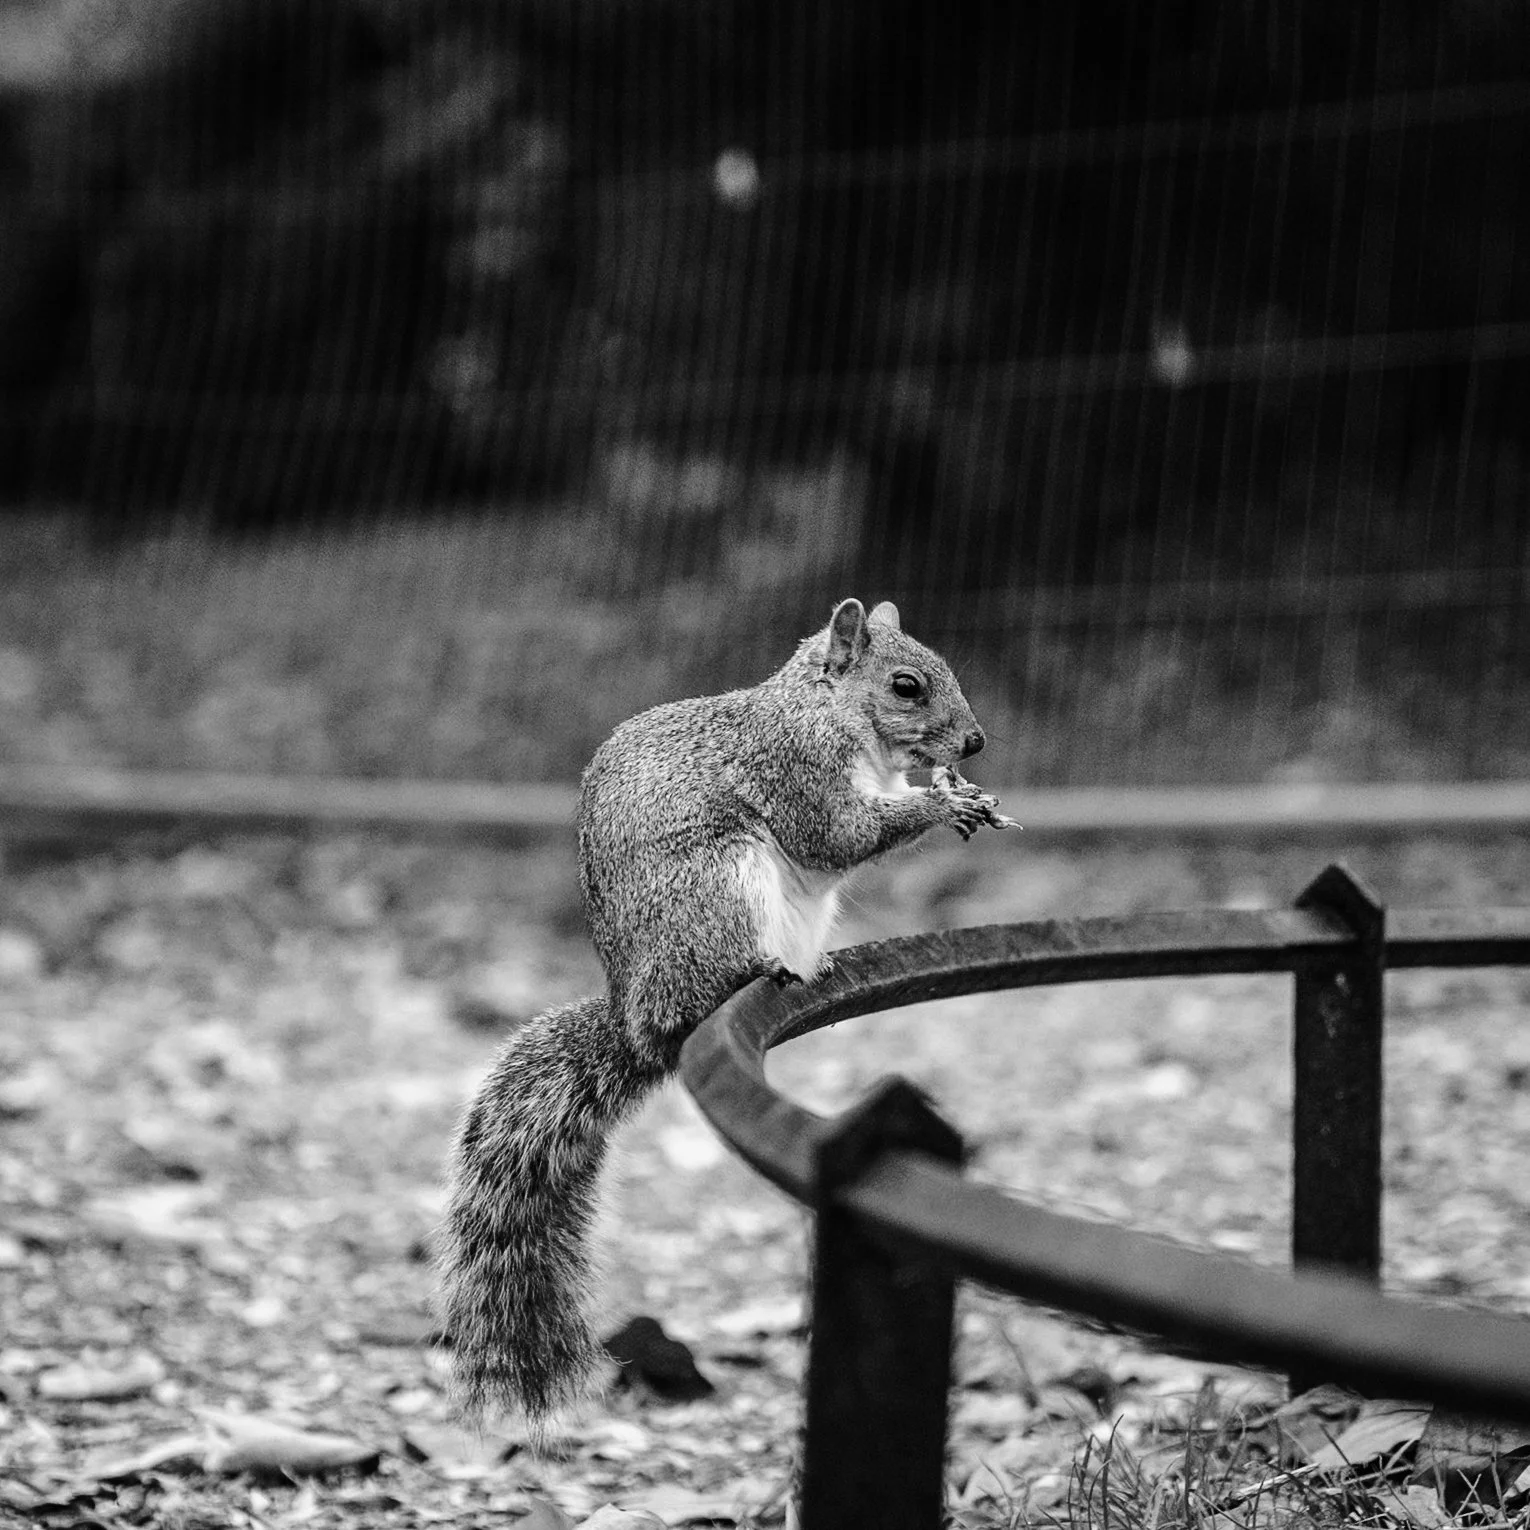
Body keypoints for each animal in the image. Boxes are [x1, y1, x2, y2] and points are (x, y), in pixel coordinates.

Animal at [436, 597, 1016, 1423]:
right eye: (906, 686)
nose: (974, 742)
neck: (829, 711)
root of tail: (636, 1020)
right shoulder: (796, 767)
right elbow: (837, 833)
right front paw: (943, 798)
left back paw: (815, 964)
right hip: (719, 884)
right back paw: (760, 968)